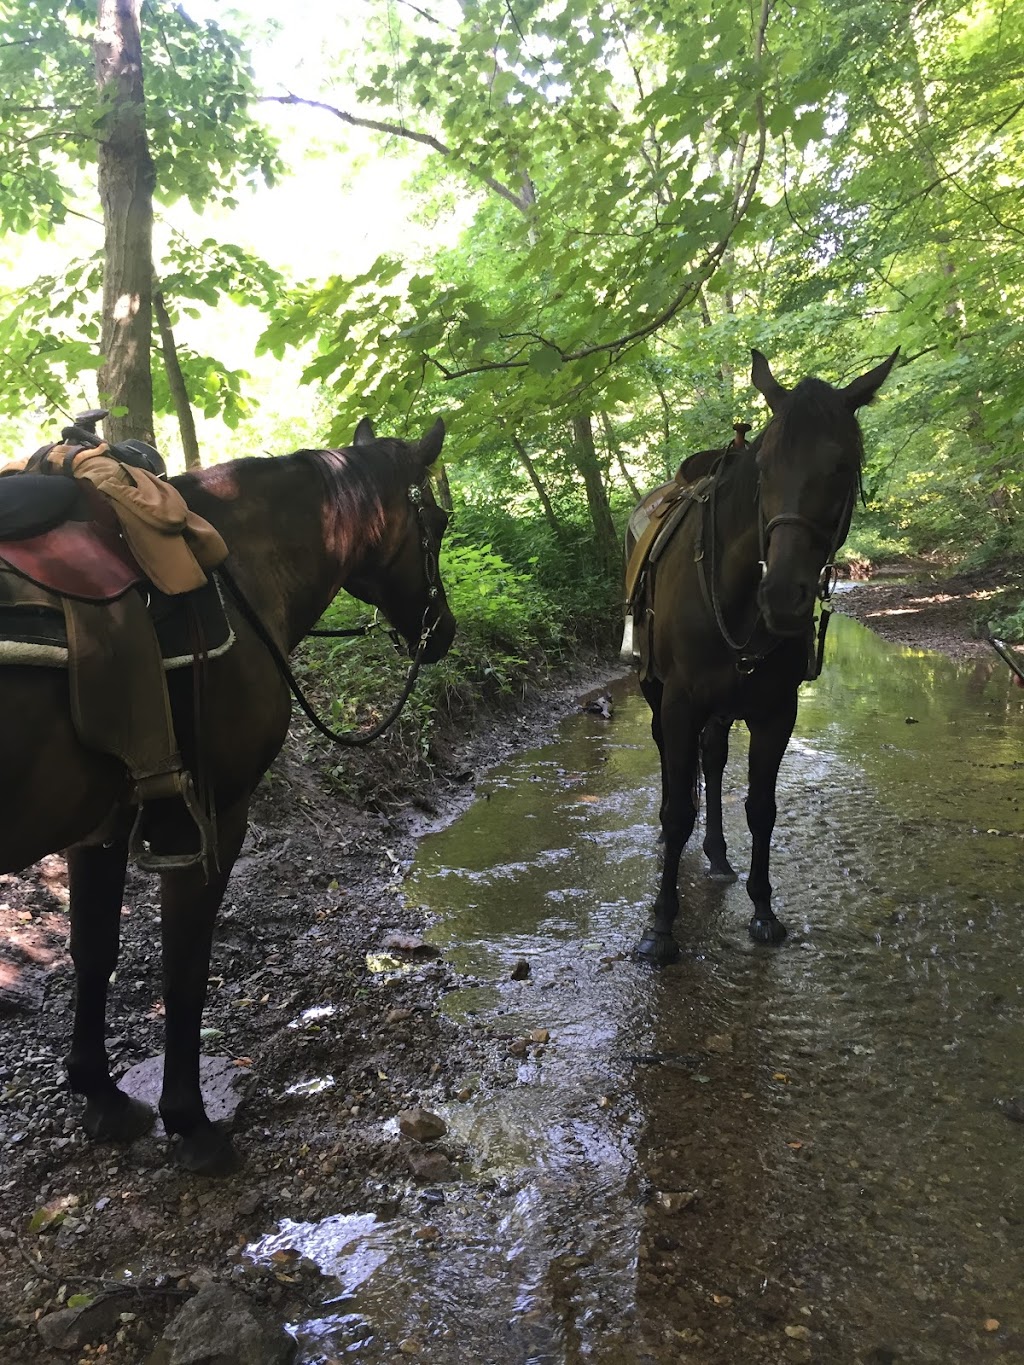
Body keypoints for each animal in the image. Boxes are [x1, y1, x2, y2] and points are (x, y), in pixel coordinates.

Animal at [0, 417, 456, 1173]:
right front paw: (190, 1121)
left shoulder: (103, 825)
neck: (233, 564)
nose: (441, 631)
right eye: (439, 520)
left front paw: (100, 1094)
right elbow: (185, 966)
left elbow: (94, 951)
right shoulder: (210, 818)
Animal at [630, 346, 901, 966]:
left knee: (711, 760)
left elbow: (762, 808)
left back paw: (718, 854)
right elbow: (677, 809)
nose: (781, 595)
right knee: (671, 765)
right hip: (657, 693)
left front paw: (763, 908)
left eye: (844, 466)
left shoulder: (776, 711)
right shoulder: (680, 701)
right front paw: (661, 925)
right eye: (764, 469)